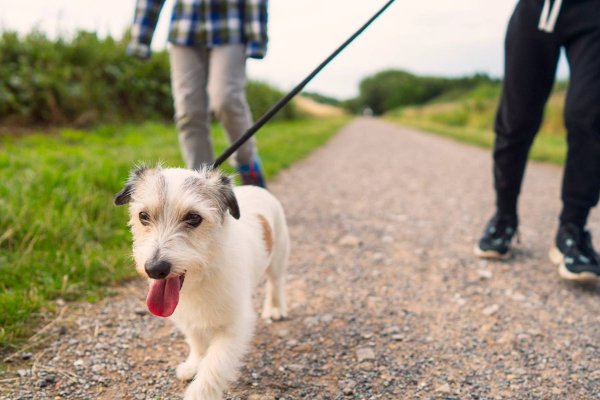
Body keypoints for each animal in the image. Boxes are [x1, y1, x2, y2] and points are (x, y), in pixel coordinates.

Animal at [115, 166, 290, 400]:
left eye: (193, 218)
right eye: (143, 216)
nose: (155, 269)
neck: (203, 275)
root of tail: (257, 188)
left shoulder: (233, 327)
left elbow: (215, 364)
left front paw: (200, 391)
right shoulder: (188, 318)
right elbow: (196, 342)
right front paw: (193, 365)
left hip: (278, 257)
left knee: (275, 283)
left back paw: (275, 308)